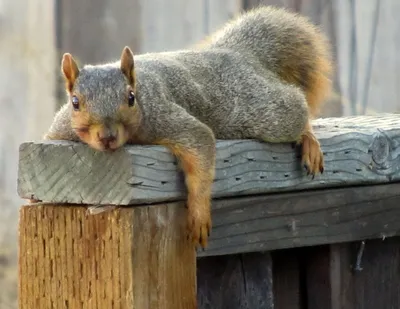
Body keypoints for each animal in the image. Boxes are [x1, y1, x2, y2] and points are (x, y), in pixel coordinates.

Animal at [43, 6, 332, 249]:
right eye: (75, 102)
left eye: (131, 97)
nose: (107, 137)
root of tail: (236, 53)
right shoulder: (59, 130)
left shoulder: (170, 120)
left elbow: (200, 150)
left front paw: (199, 214)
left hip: (262, 111)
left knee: (295, 106)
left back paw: (309, 140)